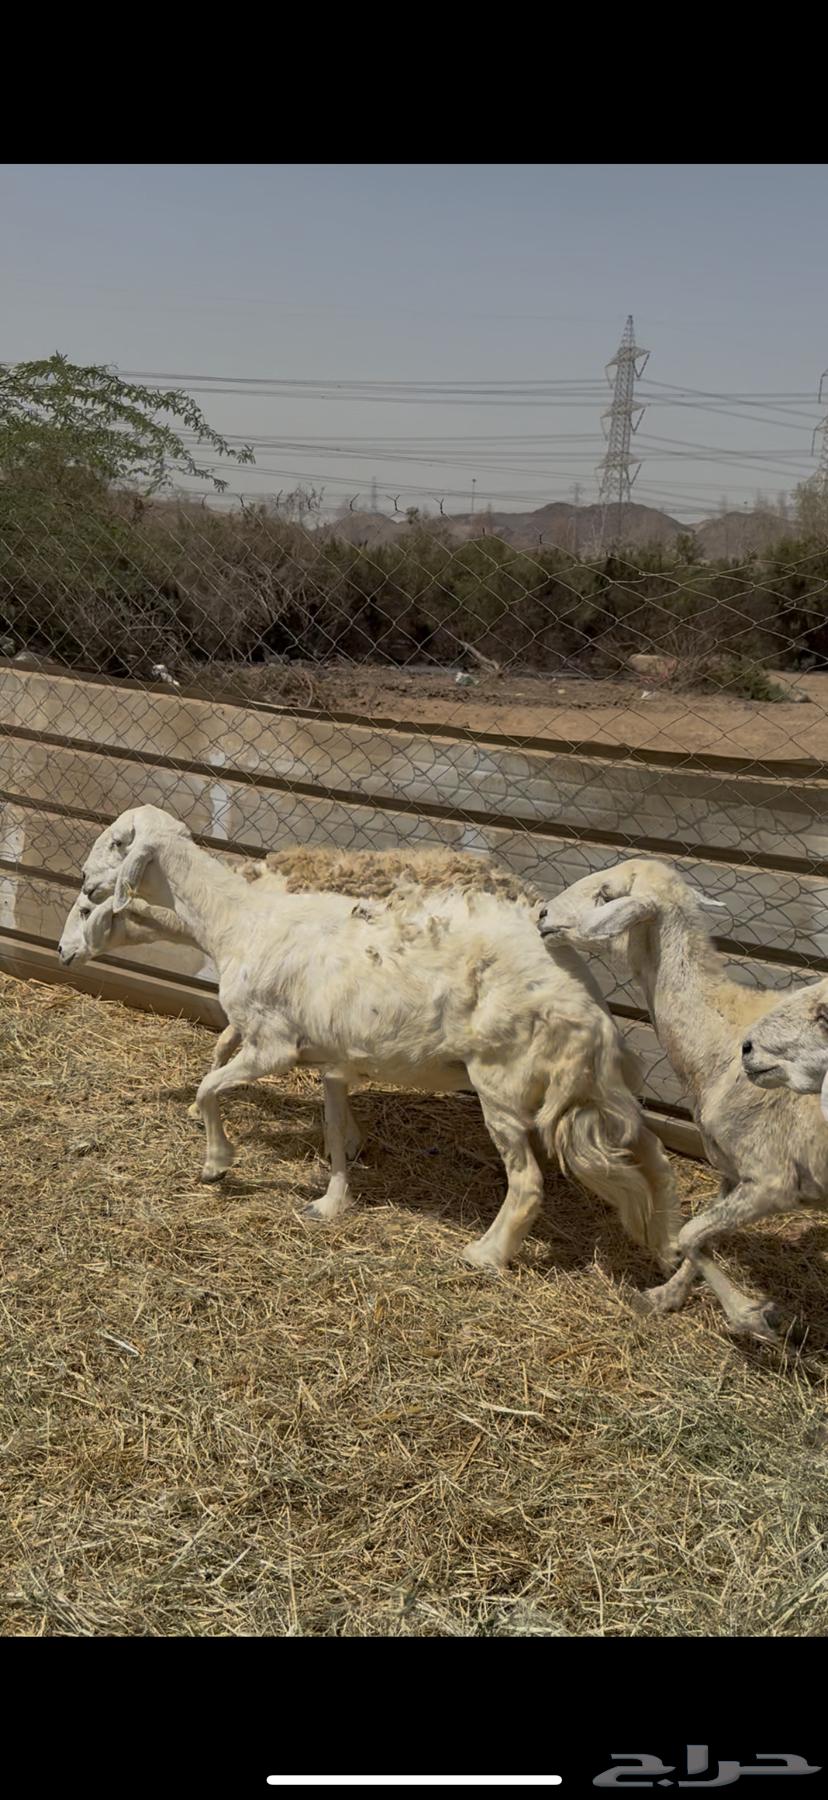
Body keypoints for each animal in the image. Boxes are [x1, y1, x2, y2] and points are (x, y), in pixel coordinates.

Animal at [64, 805, 682, 1277]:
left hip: (502, 1082)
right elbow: (334, 1129)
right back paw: (669, 1250)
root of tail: (590, 1003)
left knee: (528, 1182)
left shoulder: (272, 1044)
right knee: (652, 1158)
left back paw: (486, 1255)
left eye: (117, 843)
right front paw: (331, 1201)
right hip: (592, 1088)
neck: (237, 919)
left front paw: (217, 1163)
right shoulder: (332, 1058)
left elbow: (209, 1087)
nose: (65, 949)